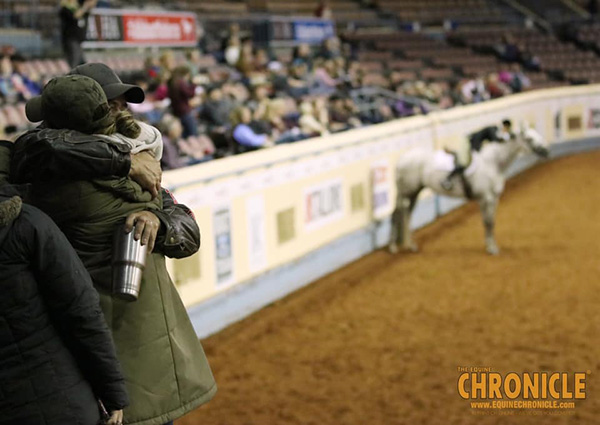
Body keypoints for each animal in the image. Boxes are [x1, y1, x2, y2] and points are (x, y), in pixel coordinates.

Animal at [390, 123, 548, 255]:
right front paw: (492, 248)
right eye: (529, 138)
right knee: (398, 214)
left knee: (406, 214)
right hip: (407, 192)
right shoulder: (486, 198)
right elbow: (488, 222)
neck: (492, 164)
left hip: (414, 192)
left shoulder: (493, 199)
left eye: (538, 135)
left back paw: (409, 246)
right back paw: (394, 247)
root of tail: (401, 160)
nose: (546, 151)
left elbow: (490, 222)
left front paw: (489, 245)